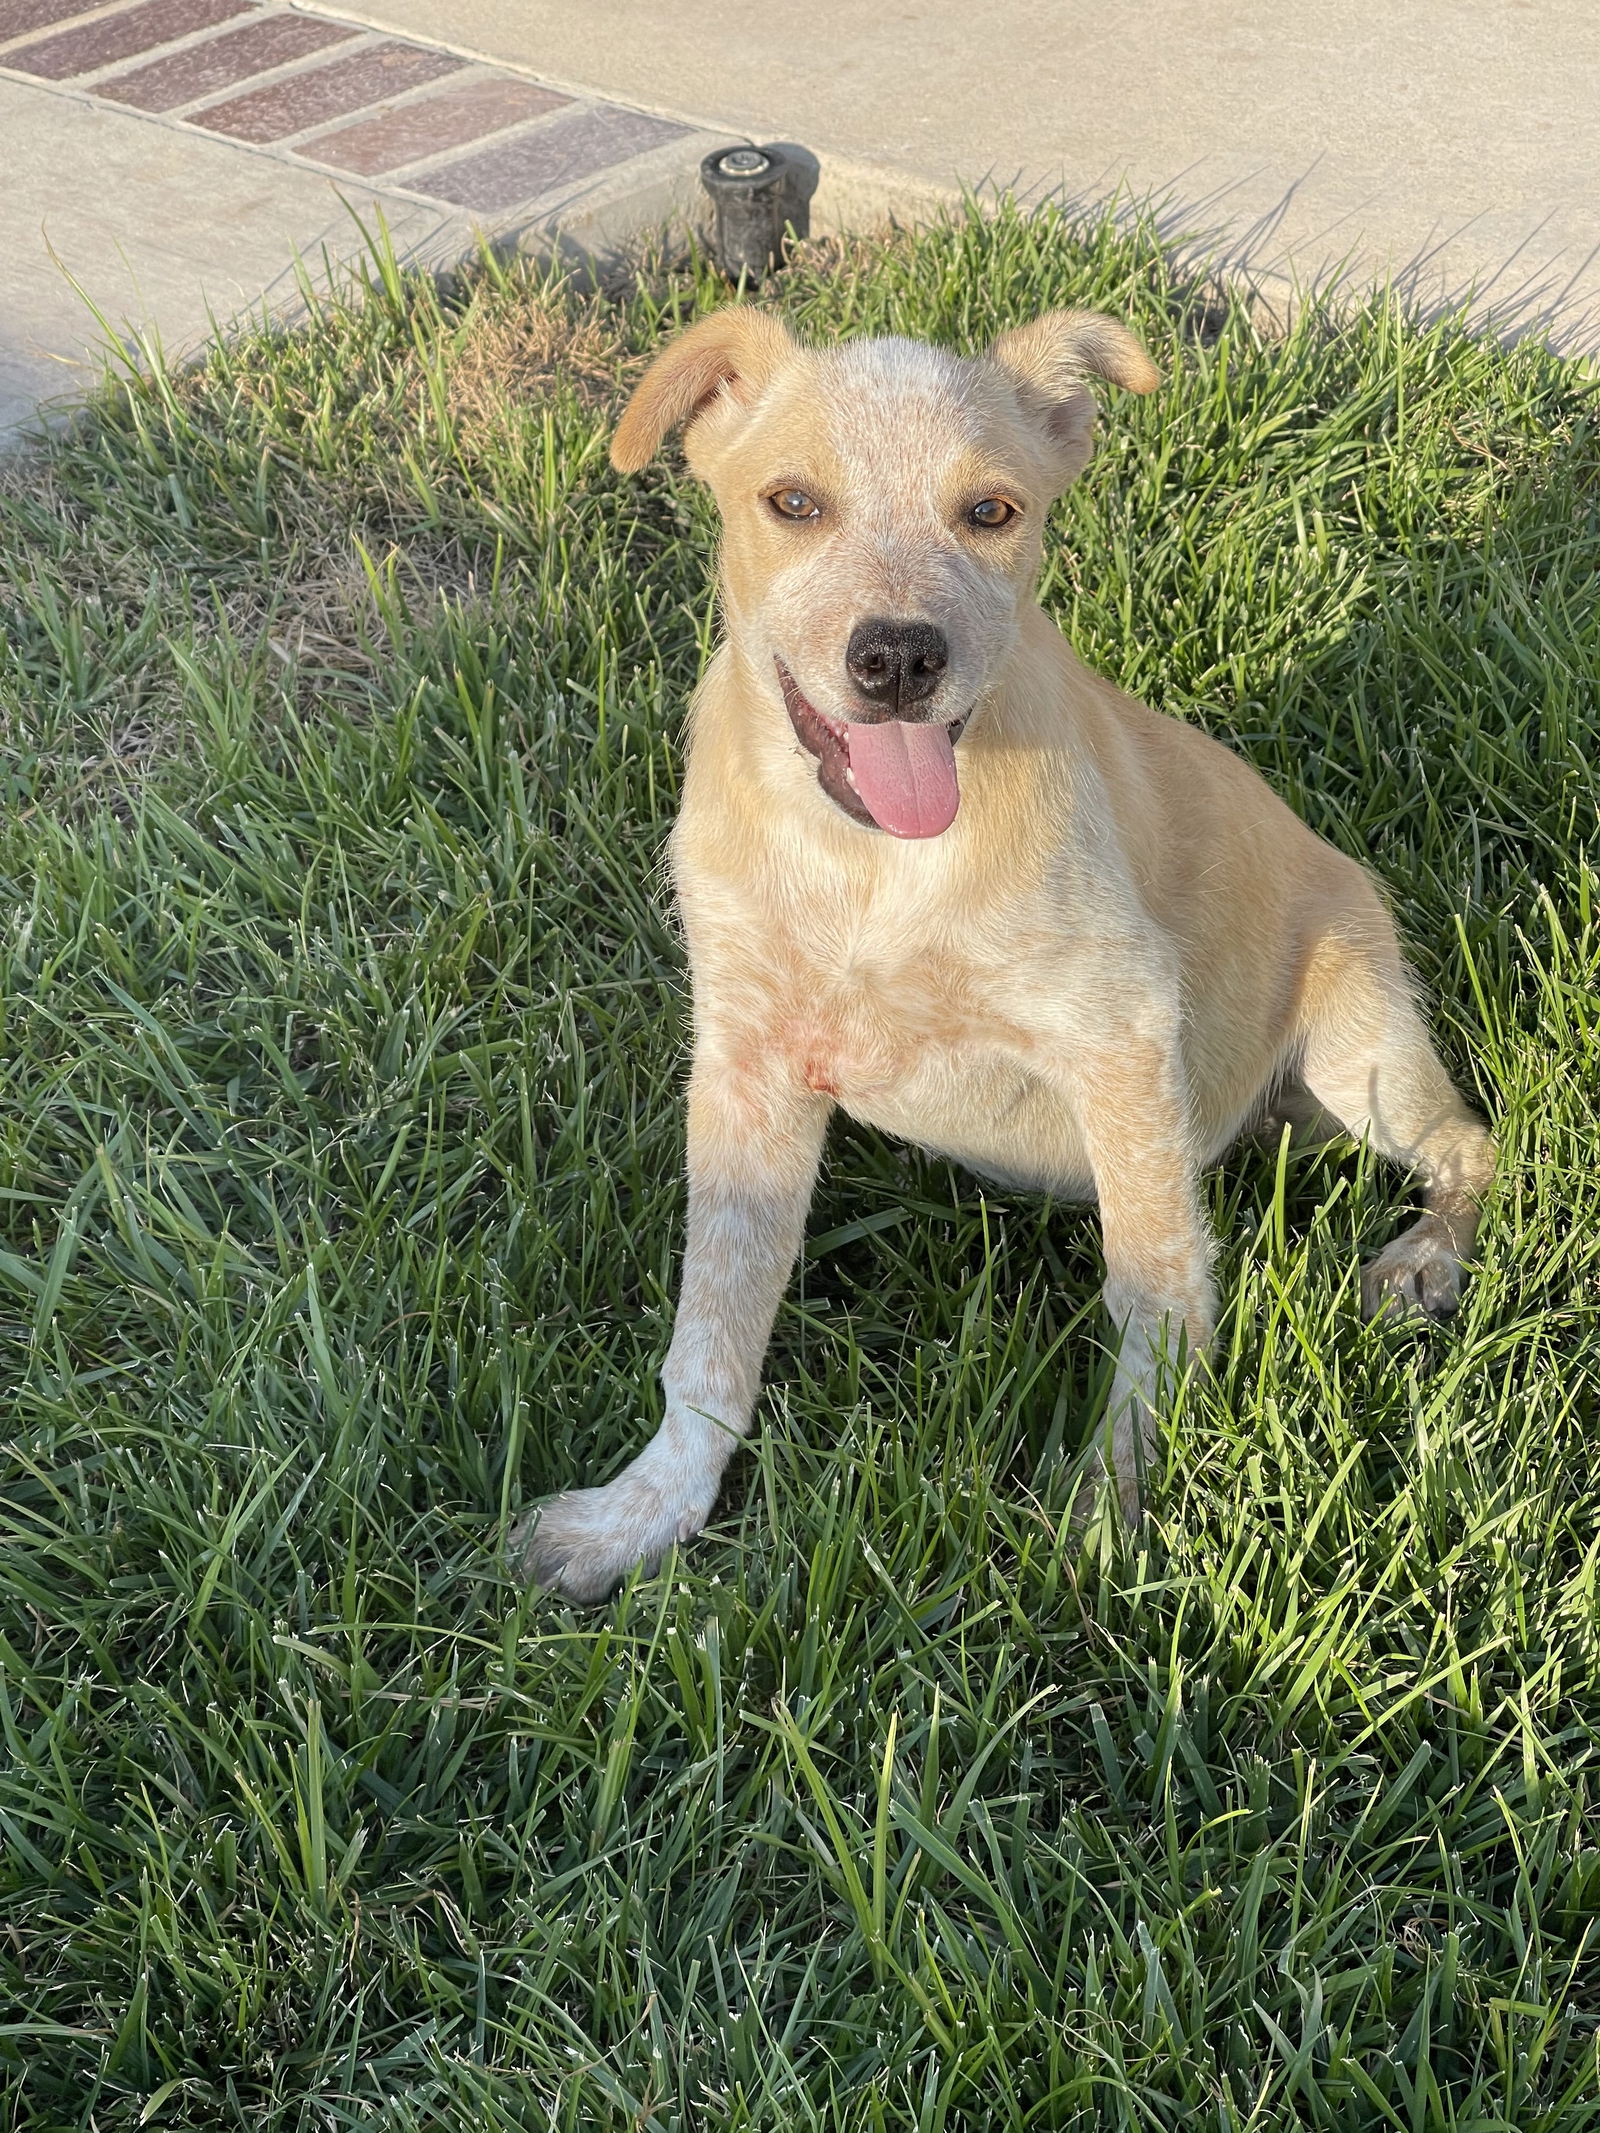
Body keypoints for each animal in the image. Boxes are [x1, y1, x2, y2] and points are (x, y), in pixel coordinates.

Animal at [516, 300, 1501, 1604]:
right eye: (792, 503)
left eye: (990, 512)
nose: (897, 659)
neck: (868, 867)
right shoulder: (745, 1066)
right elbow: (711, 1325)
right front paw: (642, 1515)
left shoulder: (1119, 1036)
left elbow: (1156, 1293)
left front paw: (1108, 1516)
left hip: (1359, 1051)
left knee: (1468, 1144)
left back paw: (1423, 1263)